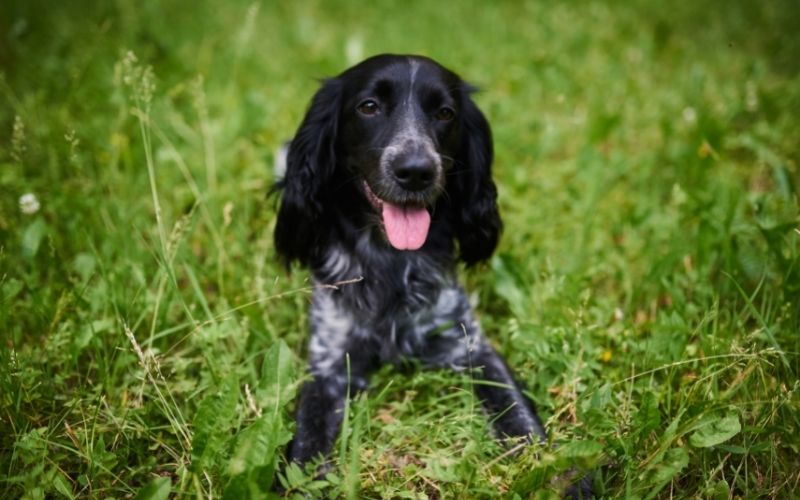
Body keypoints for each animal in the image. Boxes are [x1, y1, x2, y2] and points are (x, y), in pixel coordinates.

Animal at [276, 54, 592, 496]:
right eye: (369, 106)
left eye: (445, 113)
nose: (415, 171)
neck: (391, 260)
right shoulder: (329, 365)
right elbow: (306, 447)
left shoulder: (470, 345)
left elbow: (521, 420)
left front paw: (566, 477)